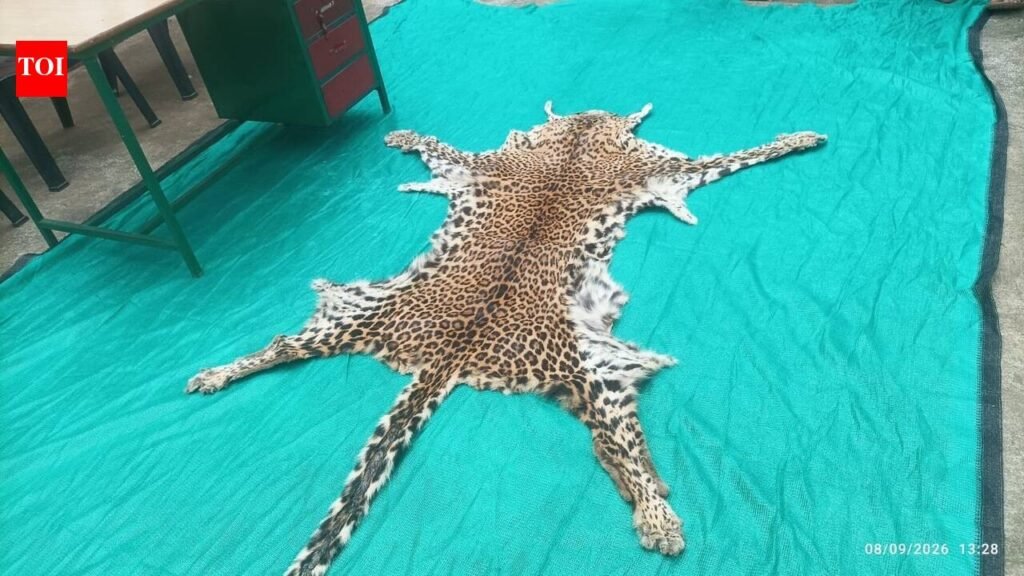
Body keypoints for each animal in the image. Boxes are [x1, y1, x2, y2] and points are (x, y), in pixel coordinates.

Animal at [185, 101, 826, 576]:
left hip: (361, 317)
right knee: (615, 438)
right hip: (585, 360)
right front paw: (801, 136)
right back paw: (656, 515)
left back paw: (213, 373)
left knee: (281, 346)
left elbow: (445, 153)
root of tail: (445, 357)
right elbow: (737, 154)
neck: (577, 139)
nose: (596, 111)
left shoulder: (487, 167)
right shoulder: (661, 170)